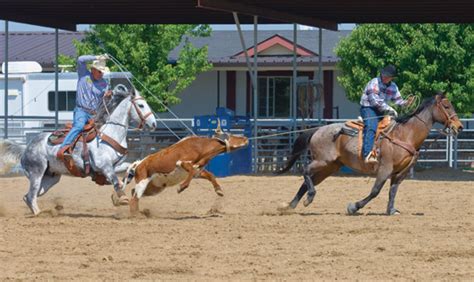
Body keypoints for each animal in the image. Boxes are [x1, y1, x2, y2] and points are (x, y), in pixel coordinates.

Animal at [0, 87, 156, 215]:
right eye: (141, 105)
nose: (154, 123)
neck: (110, 134)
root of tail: (26, 148)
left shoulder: (116, 165)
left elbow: (128, 169)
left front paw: (117, 195)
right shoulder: (104, 166)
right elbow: (114, 179)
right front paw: (122, 198)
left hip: (51, 178)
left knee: (29, 196)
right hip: (36, 173)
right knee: (31, 196)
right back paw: (40, 214)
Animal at [278, 93, 462, 215]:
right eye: (446, 106)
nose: (459, 126)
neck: (405, 134)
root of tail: (318, 130)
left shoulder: (400, 172)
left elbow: (393, 190)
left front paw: (391, 210)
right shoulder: (385, 168)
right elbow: (375, 191)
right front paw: (354, 207)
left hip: (330, 167)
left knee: (307, 181)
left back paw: (290, 206)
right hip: (322, 161)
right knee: (305, 172)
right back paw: (308, 198)